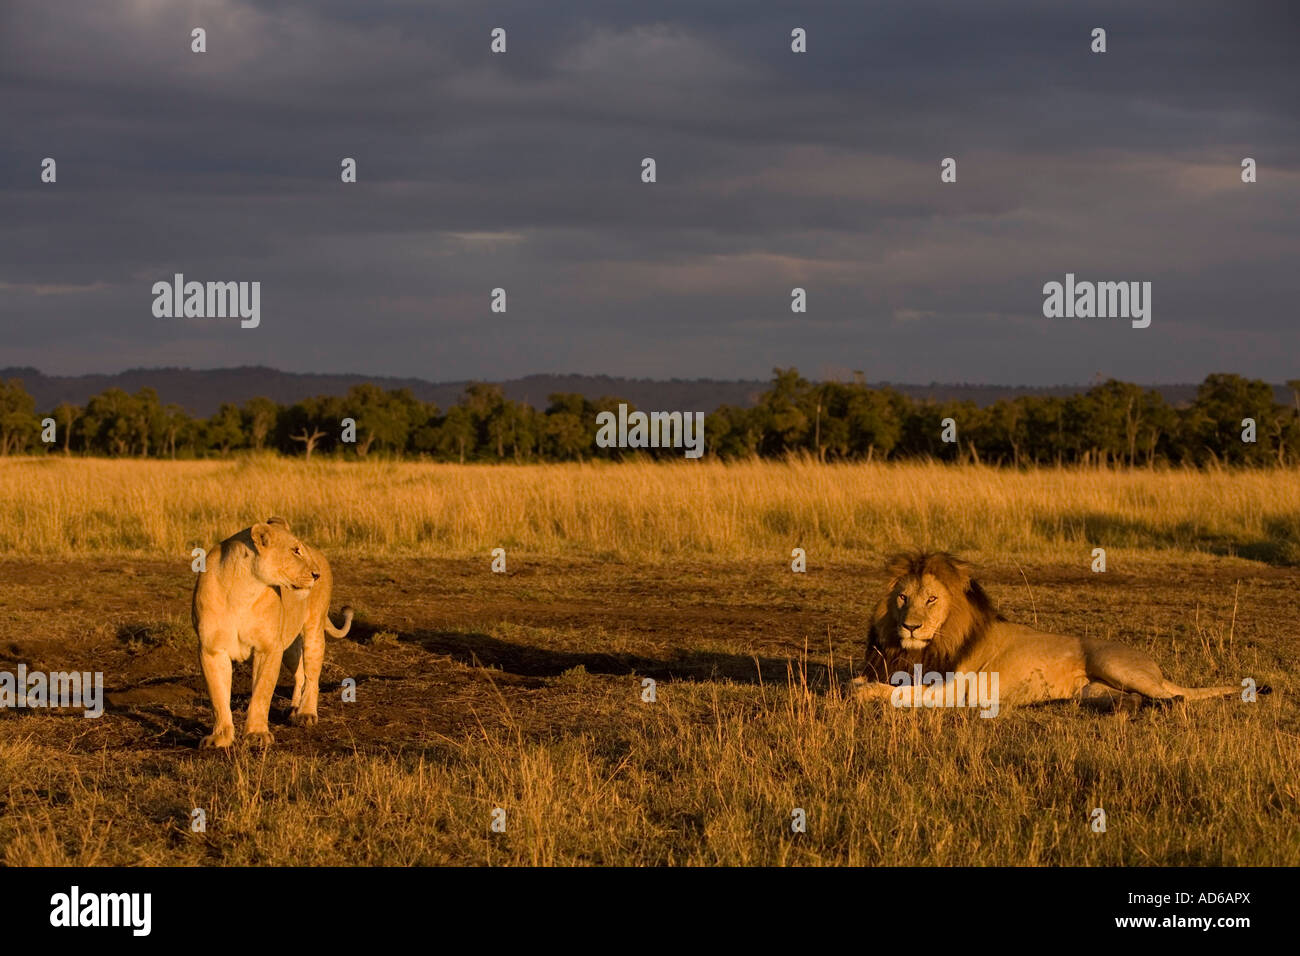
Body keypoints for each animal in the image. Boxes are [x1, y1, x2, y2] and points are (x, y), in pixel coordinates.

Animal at [192, 517, 353, 748]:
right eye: (295, 551)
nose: (316, 575)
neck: (242, 589)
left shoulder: (268, 648)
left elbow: (262, 692)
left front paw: (257, 734)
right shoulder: (211, 650)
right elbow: (218, 696)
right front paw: (220, 737)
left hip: (313, 630)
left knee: (312, 677)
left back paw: (306, 713)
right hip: (289, 647)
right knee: (300, 673)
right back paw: (294, 708)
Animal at [851, 551, 1255, 712]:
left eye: (932, 599)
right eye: (902, 597)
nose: (910, 625)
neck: (922, 647)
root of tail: (1154, 668)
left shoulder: (953, 691)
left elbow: (898, 693)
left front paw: (867, 692)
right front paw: (859, 685)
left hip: (1114, 664)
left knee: (1177, 697)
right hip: (1093, 688)